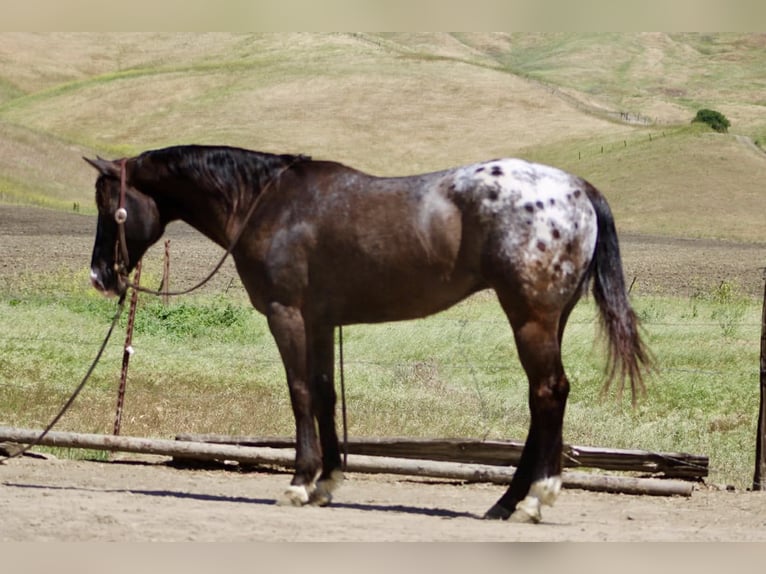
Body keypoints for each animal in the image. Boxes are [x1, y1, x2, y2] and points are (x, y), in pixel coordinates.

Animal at [85, 144, 649, 523]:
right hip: (551, 318)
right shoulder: (319, 321)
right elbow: (325, 394)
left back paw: (535, 498)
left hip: (530, 317)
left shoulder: (286, 315)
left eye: (107, 205)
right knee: (542, 398)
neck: (269, 203)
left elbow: (299, 392)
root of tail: (579, 189)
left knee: (548, 393)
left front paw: (298, 483)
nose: (100, 276)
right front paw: (326, 481)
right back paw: (507, 502)